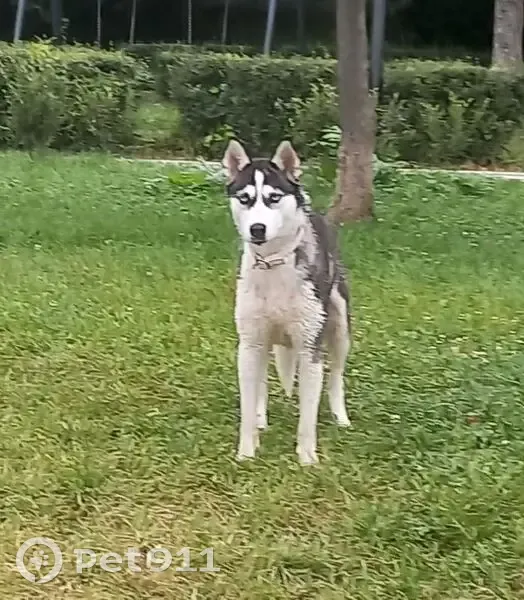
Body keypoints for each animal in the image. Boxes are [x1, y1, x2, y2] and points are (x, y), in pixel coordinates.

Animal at [222, 139, 352, 465]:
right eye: (245, 198)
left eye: (274, 198)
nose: (257, 229)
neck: (273, 264)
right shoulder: (249, 343)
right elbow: (247, 404)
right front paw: (246, 452)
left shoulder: (309, 347)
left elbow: (307, 416)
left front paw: (307, 458)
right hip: (264, 341)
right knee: (261, 383)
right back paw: (260, 417)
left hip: (340, 329)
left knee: (336, 377)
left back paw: (341, 417)